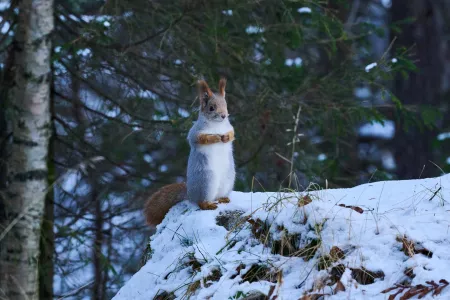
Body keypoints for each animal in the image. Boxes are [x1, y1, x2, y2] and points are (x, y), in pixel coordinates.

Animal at [144, 77, 237, 225]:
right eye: (211, 108)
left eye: (226, 105)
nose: (223, 115)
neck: (217, 125)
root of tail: (189, 193)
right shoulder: (195, 133)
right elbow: (202, 139)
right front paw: (215, 138)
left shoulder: (230, 127)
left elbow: (232, 134)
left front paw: (226, 137)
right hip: (206, 181)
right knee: (200, 202)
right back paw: (207, 205)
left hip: (228, 179)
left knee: (218, 196)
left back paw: (223, 198)